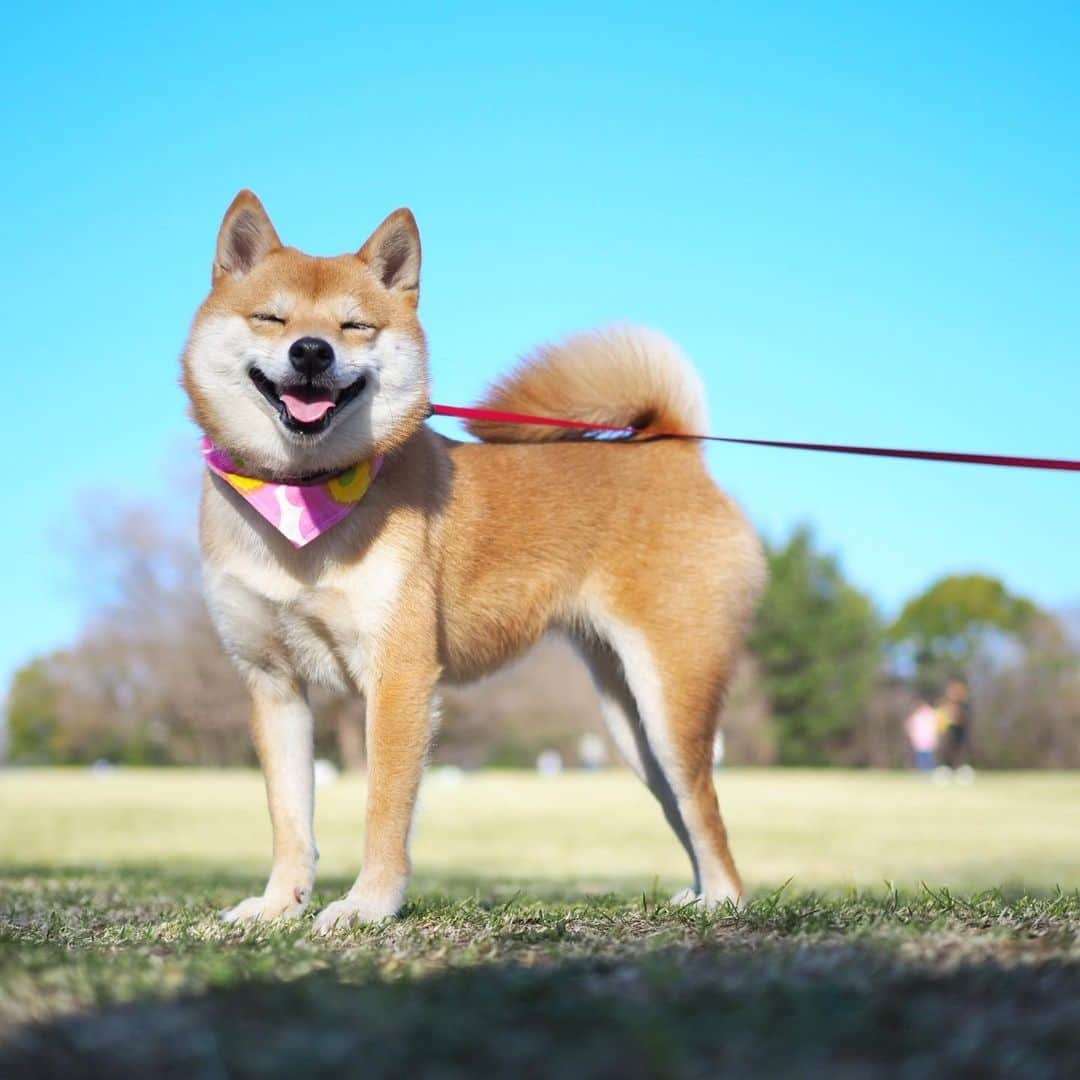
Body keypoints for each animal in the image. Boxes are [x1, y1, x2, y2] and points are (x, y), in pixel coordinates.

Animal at [181, 192, 764, 928]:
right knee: (680, 806)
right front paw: (277, 904)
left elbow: (383, 810)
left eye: (354, 325)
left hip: (672, 697)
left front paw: (367, 905)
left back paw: (722, 902)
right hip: (628, 721)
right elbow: (289, 818)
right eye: (272, 317)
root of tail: (676, 451)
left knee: (705, 807)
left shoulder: (399, 677)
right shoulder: (272, 682)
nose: (310, 350)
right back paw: (693, 897)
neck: (303, 495)